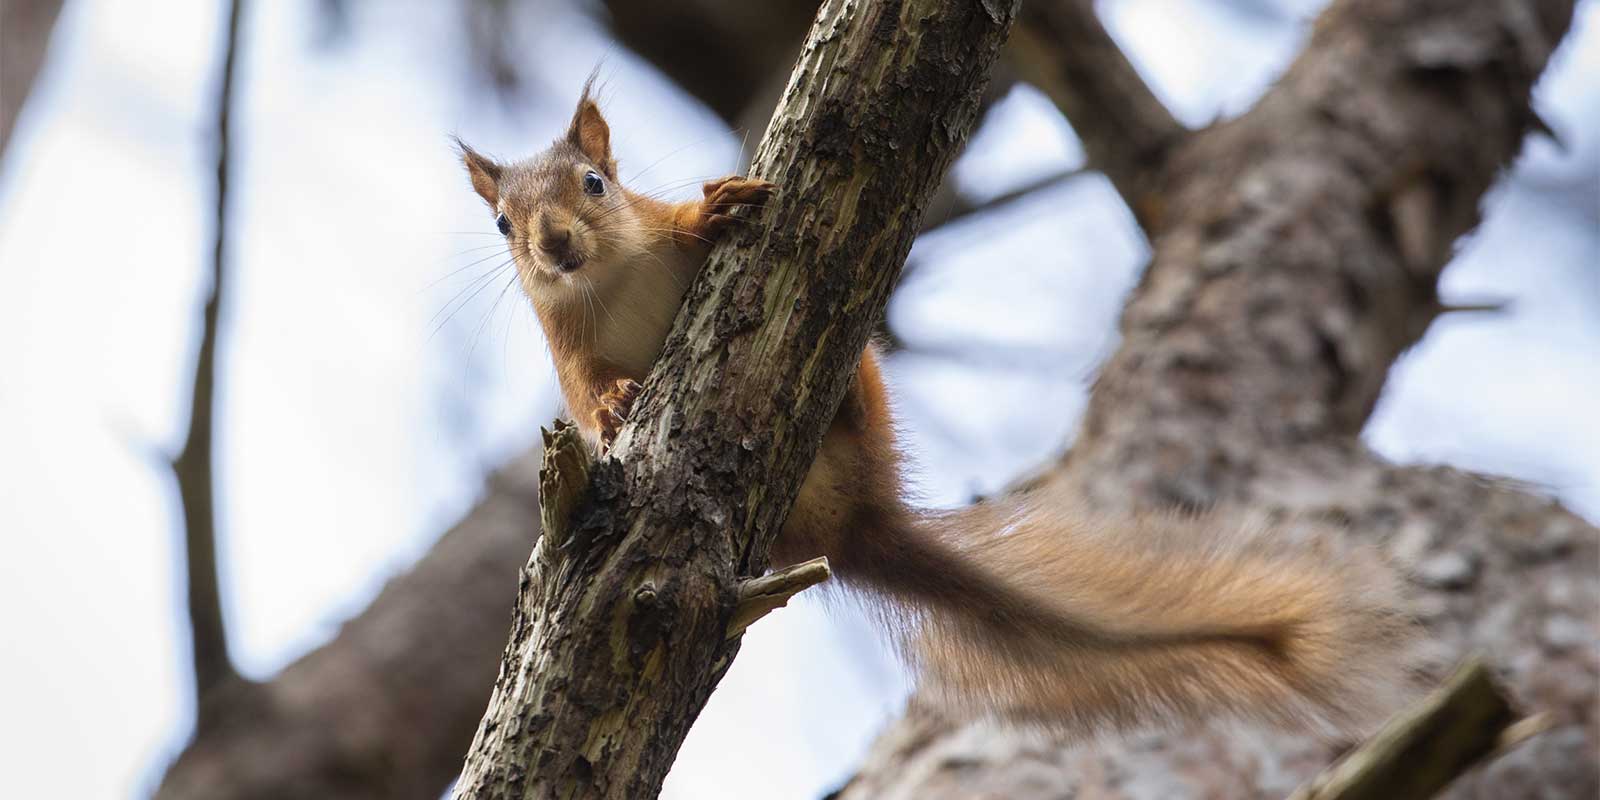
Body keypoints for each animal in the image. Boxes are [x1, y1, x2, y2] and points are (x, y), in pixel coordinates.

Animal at [454, 84, 1417, 739]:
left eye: (595, 184)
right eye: (502, 225)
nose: (554, 245)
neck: (606, 279)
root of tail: (857, 524)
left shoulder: (655, 237)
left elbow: (688, 224)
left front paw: (717, 202)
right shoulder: (565, 350)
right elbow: (587, 397)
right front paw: (618, 404)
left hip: (867, 391)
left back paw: (841, 396)